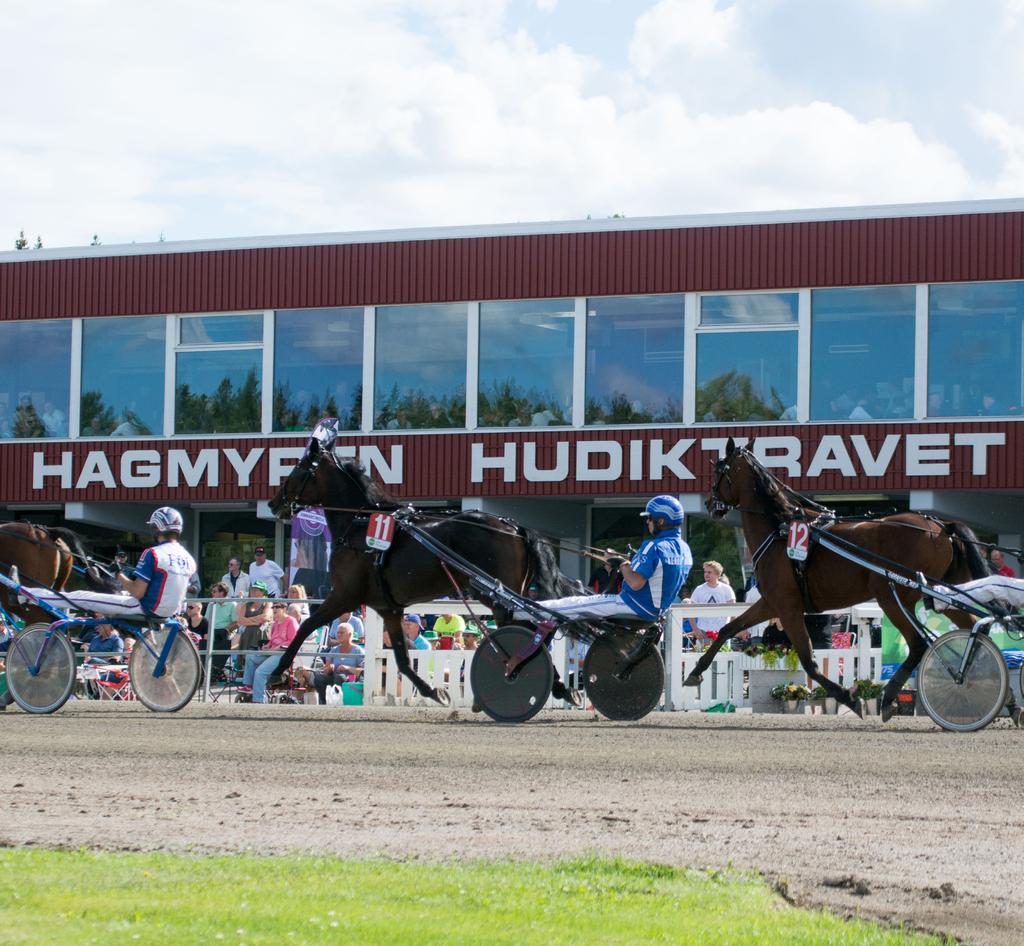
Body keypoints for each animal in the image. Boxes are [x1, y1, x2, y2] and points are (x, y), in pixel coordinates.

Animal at [268, 425, 573, 704]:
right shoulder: (388, 607)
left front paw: (276, 673)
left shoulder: (345, 595)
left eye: (297, 469)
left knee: (532, 629)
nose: (273, 503)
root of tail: (514, 528)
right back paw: (556, 685)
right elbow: (402, 659)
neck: (359, 523)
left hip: (495, 595)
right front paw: (433, 691)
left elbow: (307, 625)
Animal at [688, 440, 991, 720]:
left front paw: (849, 697)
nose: (710, 504)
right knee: (976, 628)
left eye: (718, 469)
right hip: (943, 594)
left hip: (893, 596)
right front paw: (695, 672)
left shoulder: (787, 607)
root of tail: (941, 527)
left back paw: (890, 697)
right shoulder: (771, 603)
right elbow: (728, 629)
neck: (779, 530)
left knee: (918, 644)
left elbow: (809, 662)